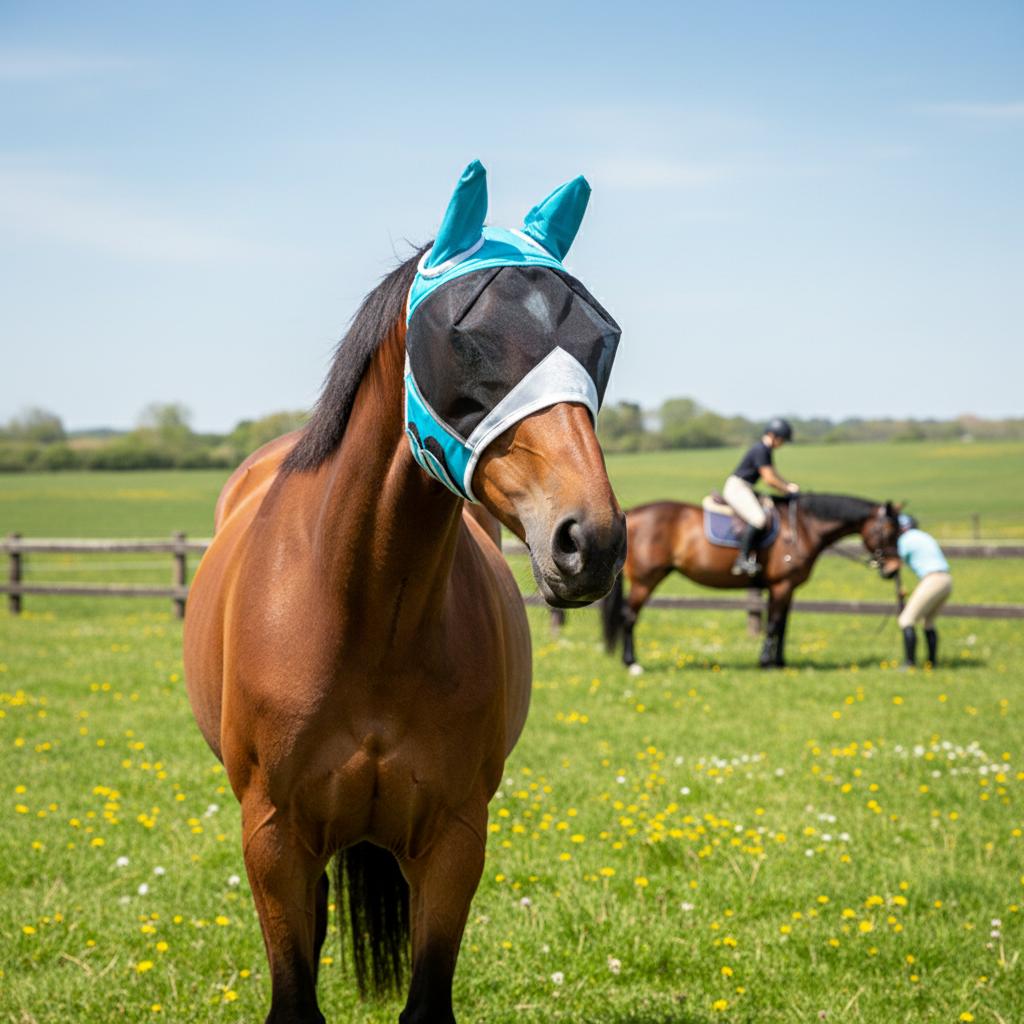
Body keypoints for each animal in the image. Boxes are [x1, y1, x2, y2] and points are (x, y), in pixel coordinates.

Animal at [183, 161, 626, 1024]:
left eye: (603, 341)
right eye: (463, 339)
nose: (589, 539)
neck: (363, 613)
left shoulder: (455, 839)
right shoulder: (274, 838)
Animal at [600, 493, 901, 671]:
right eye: (888, 532)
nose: (893, 569)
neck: (801, 528)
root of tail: (633, 514)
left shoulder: (787, 588)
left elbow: (783, 626)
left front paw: (780, 662)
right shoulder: (781, 585)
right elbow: (774, 623)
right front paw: (767, 662)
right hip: (646, 580)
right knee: (629, 616)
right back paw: (632, 663)